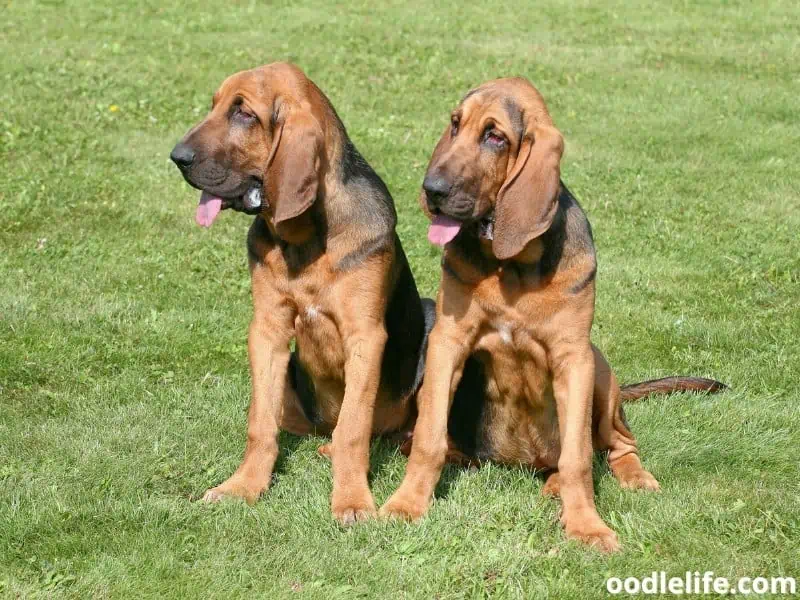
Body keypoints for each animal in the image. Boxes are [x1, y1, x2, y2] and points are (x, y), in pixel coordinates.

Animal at [169, 62, 438, 524]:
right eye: (215, 105)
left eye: (244, 113)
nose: (177, 156)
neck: (306, 240)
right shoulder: (267, 330)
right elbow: (259, 424)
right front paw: (243, 487)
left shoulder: (365, 336)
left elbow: (353, 427)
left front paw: (352, 501)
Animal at [382, 77, 724, 552]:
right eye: (454, 124)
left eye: (495, 136)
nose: (432, 190)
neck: (513, 266)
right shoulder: (448, 343)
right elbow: (428, 440)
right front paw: (407, 504)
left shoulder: (573, 358)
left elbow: (578, 458)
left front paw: (586, 526)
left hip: (600, 370)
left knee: (615, 445)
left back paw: (622, 478)